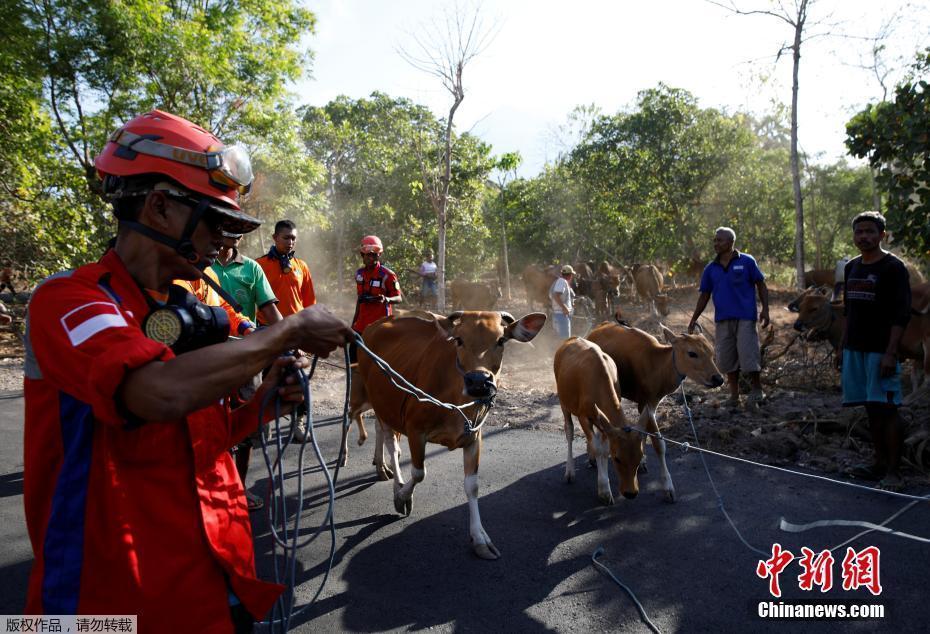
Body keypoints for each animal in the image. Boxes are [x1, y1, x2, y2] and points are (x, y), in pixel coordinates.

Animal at [556, 336, 640, 504]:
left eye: (640, 459)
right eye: (617, 459)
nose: (631, 493)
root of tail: (570, 339)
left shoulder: (604, 422)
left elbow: (603, 448)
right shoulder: (583, 416)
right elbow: (598, 448)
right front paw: (604, 490)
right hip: (563, 402)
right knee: (569, 431)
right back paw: (570, 471)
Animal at [588, 320, 724, 498]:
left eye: (711, 351)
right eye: (692, 353)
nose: (718, 379)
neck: (658, 367)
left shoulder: (652, 404)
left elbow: (645, 434)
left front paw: (642, 461)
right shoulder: (646, 403)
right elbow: (659, 444)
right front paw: (667, 486)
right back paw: (592, 457)